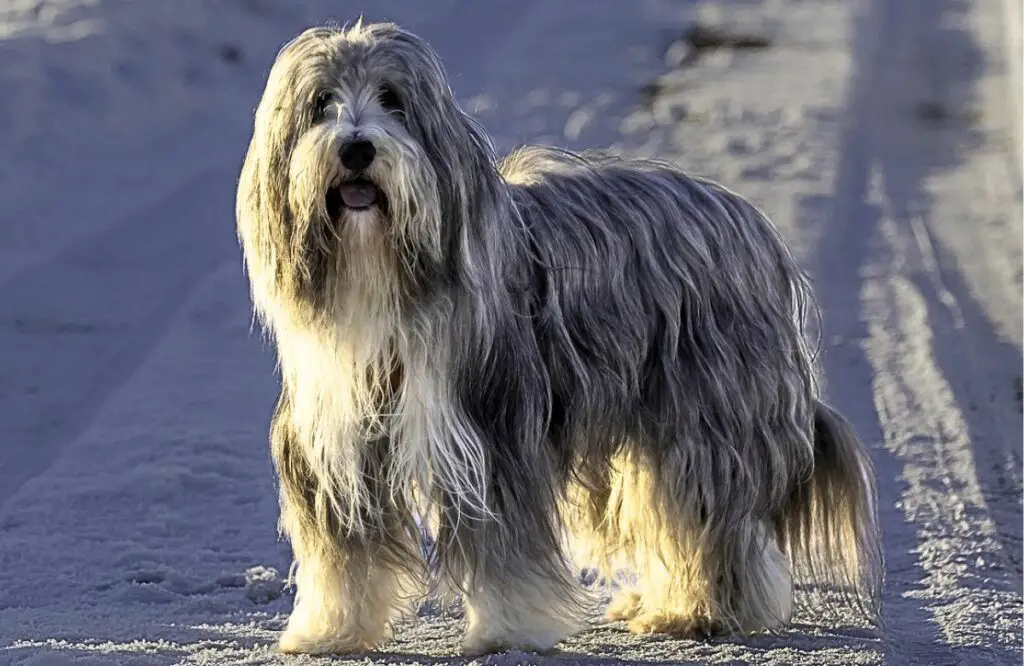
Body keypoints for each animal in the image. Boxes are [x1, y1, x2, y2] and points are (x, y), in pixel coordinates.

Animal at [235, 19, 884, 651]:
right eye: (321, 103)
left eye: (393, 100)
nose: (357, 147)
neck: (383, 280)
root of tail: (749, 221)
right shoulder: (338, 442)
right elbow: (344, 556)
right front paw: (331, 630)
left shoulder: (493, 436)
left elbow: (506, 550)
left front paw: (506, 631)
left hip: (705, 415)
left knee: (708, 518)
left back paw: (697, 612)